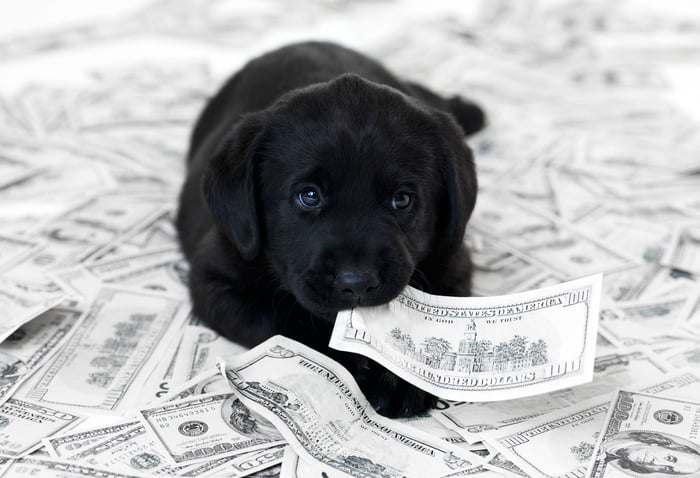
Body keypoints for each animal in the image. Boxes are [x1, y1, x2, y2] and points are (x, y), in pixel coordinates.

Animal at [175, 41, 484, 416]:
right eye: (309, 196)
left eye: (402, 199)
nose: (358, 282)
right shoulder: (215, 280)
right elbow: (284, 323)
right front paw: (349, 360)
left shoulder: (454, 266)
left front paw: (398, 378)